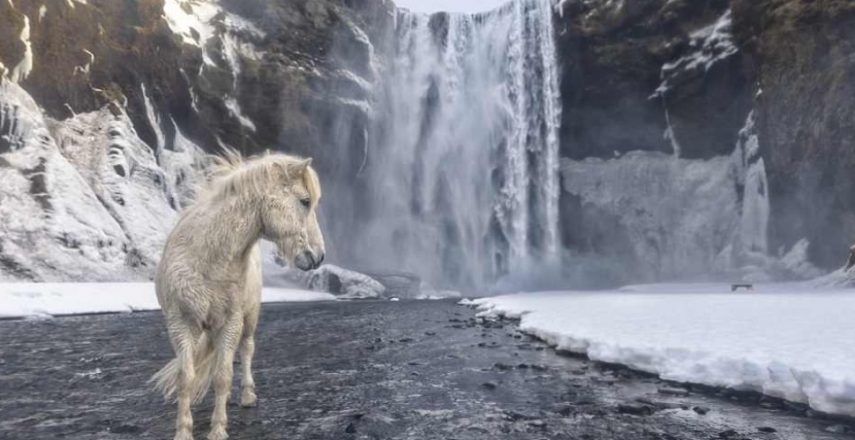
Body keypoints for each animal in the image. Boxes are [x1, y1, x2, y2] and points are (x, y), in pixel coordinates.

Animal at [150, 150, 324, 440]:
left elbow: (223, 376)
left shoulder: (230, 322)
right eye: (305, 201)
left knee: (246, 350)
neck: (208, 258)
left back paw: (246, 395)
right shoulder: (180, 324)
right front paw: (183, 431)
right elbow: (186, 377)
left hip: (249, 319)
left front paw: (218, 429)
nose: (319, 256)